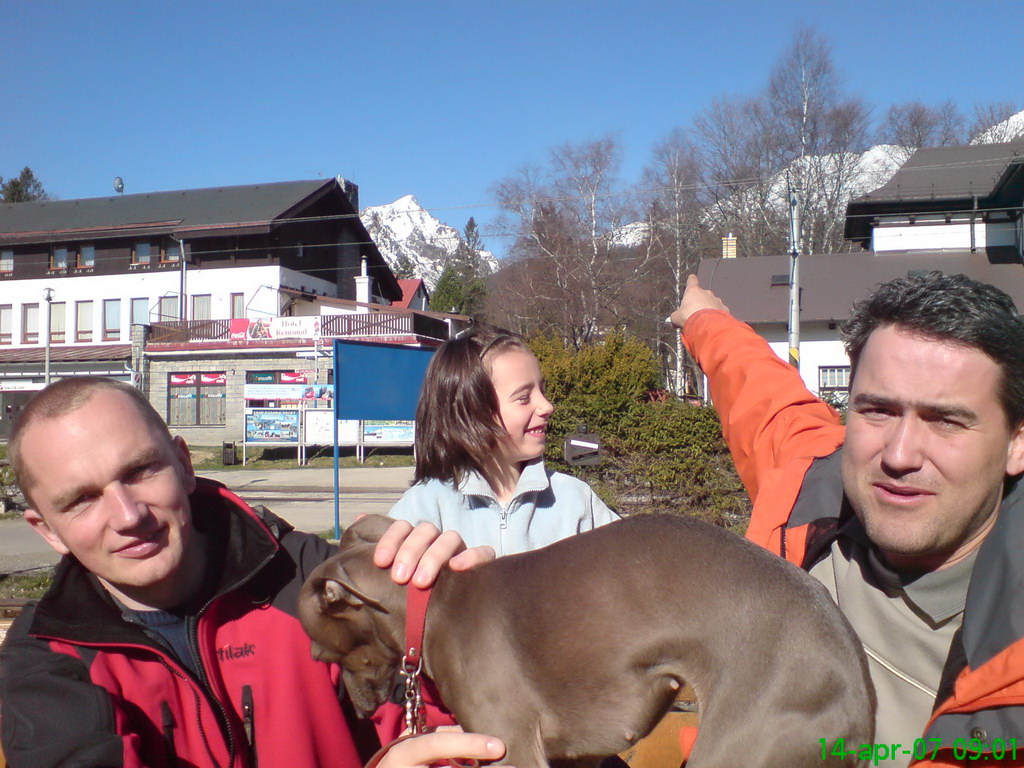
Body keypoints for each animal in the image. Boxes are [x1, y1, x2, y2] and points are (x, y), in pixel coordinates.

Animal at [299, 512, 876, 768]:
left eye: (323, 653)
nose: (361, 712)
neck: (435, 602)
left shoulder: (511, 748)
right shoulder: (571, 755)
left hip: (740, 749)